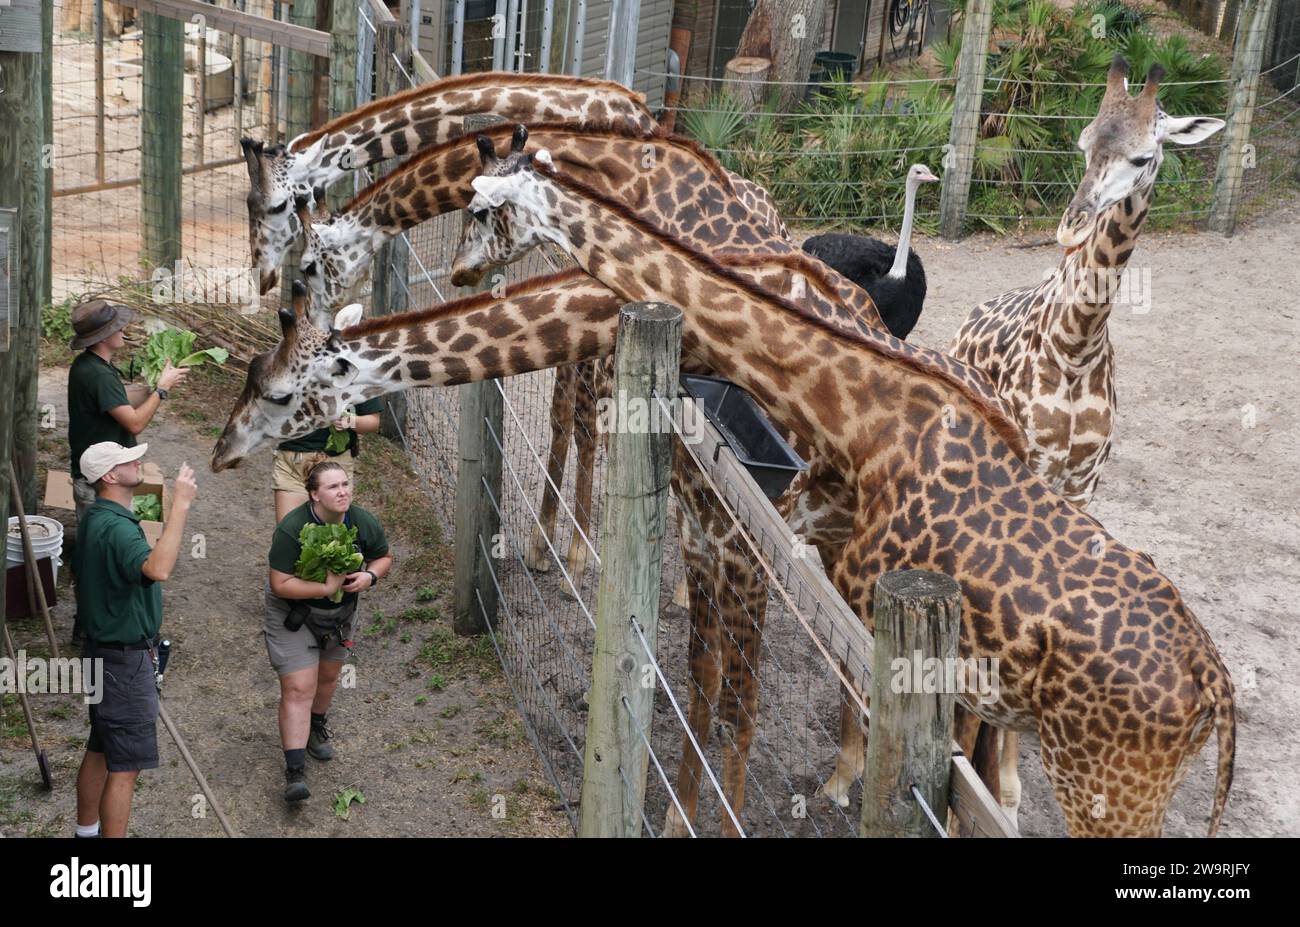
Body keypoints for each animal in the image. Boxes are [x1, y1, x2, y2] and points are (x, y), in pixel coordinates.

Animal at [446, 144, 1236, 836]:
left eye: (481, 208)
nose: (457, 271)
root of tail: (1215, 685)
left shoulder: (746, 544)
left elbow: (738, 701)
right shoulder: (710, 536)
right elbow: (700, 686)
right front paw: (677, 813)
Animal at [948, 57, 1226, 827]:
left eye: (1143, 155)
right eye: (1081, 143)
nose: (1071, 225)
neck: (1075, 346)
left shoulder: (1084, 483)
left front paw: (1005, 787)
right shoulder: (1034, 466)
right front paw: (999, 781)